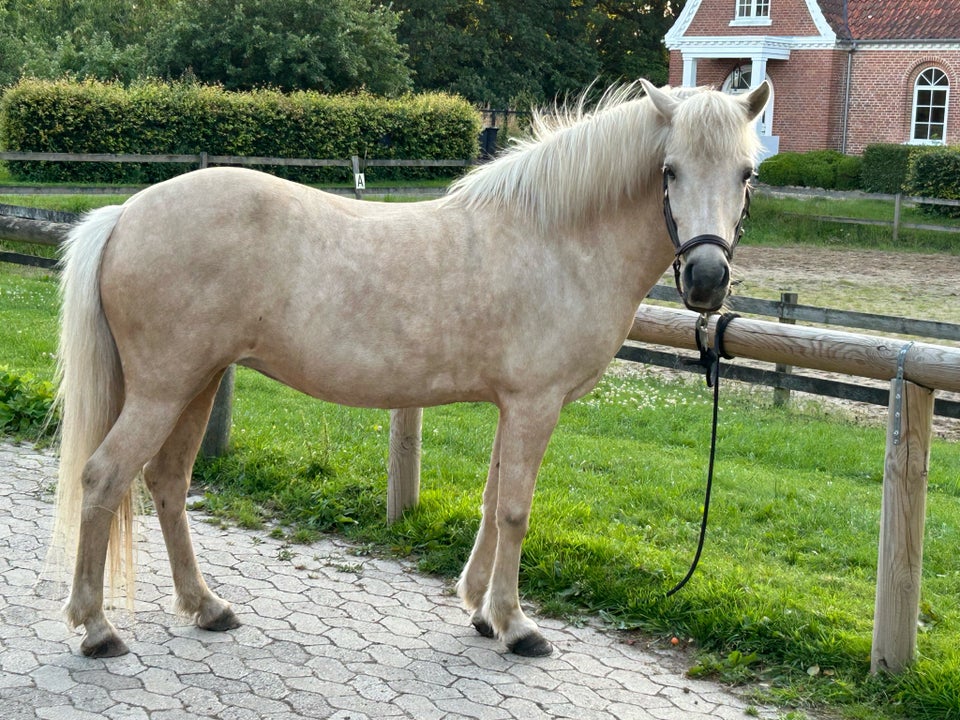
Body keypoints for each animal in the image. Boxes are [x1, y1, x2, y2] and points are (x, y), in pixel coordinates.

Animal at [47, 80, 772, 660]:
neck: (556, 238)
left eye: (746, 174)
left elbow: (491, 503)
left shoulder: (512, 405)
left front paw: (479, 608)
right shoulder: (536, 403)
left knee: (167, 482)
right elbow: (515, 511)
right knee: (105, 477)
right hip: (163, 391)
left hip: (195, 385)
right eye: (669, 170)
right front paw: (516, 626)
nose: (707, 280)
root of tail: (125, 213)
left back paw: (206, 607)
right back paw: (96, 628)